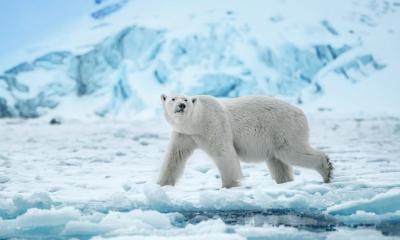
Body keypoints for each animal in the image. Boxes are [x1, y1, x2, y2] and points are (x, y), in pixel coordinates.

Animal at [158, 94, 332, 188]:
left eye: (186, 99)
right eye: (173, 98)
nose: (181, 105)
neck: (197, 122)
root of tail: (300, 112)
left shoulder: (214, 125)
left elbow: (224, 153)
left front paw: (229, 185)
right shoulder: (184, 134)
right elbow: (174, 157)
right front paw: (162, 184)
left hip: (284, 128)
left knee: (292, 152)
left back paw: (327, 170)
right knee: (278, 162)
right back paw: (285, 182)